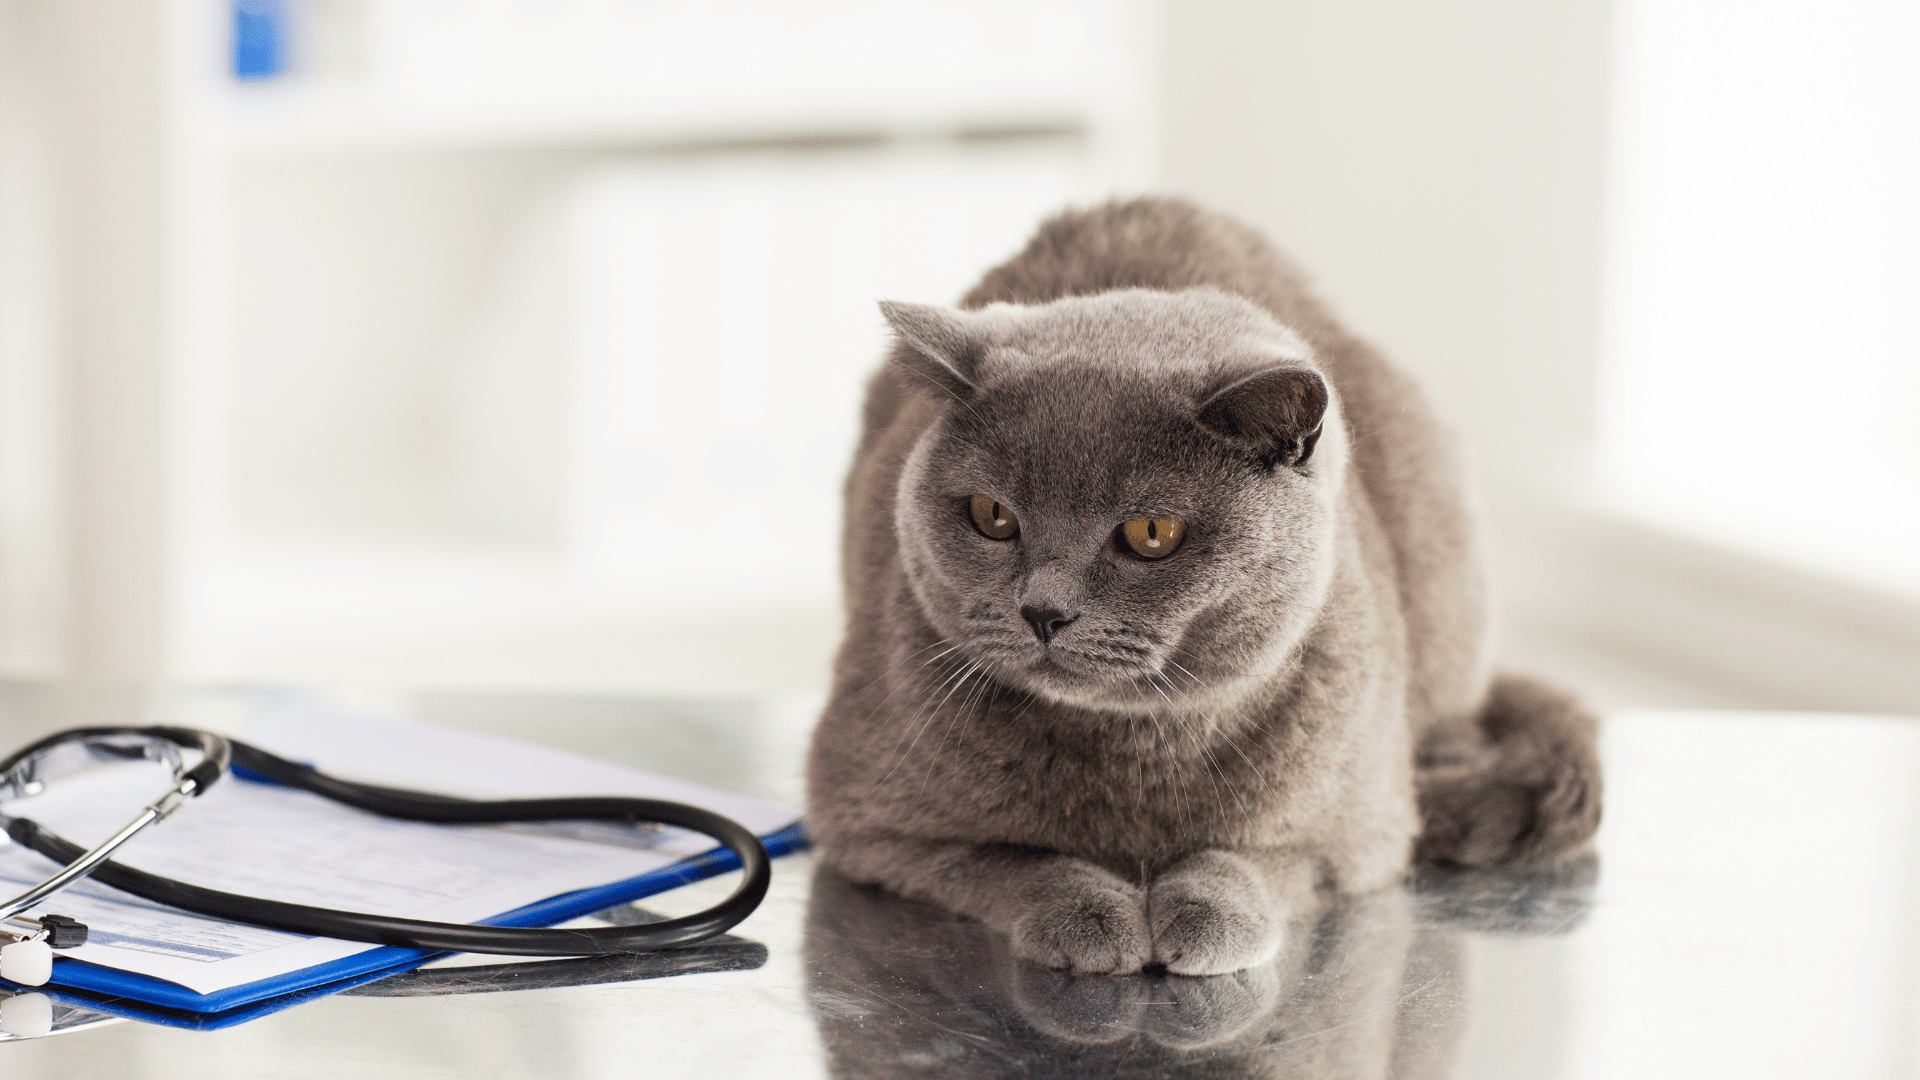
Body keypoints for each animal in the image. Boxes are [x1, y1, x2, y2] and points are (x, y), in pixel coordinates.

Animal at [802, 195, 1597, 976]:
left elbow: (1254, 860)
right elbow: (1007, 861)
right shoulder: (869, 822)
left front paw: (1206, 912)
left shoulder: (1364, 831)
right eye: (991, 516)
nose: (1042, 612)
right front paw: (1090, 914)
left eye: (1152, 533)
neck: (1140, 757)